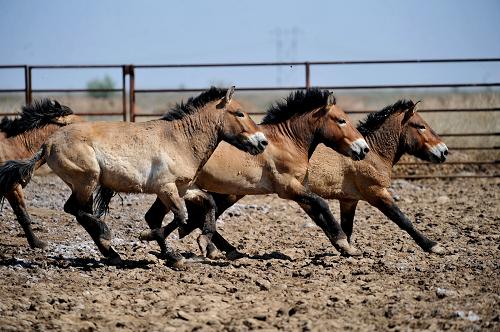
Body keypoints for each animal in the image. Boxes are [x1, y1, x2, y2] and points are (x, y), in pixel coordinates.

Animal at [139, 89, 370, 260]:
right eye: (341, 120)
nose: (364, 149)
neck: (287, 142)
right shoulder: (288, 188)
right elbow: (322, 204)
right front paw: (345, 243)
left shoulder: (299, 190)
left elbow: (318, 215)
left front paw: (345, 247)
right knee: (159, 216)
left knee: (161, 216)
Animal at [169, 98, 450, 256]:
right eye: (421, 126)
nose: (444, 151)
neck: (374, 153)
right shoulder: (375, 193)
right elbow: (403, 220)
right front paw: (433, 245)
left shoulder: (349, 200)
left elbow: (344, 225)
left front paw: (346, 248)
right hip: (230, 192)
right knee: (201, 216)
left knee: (200, 215)